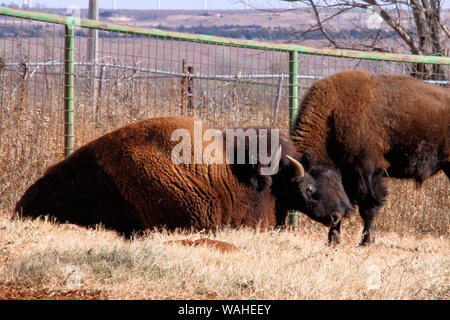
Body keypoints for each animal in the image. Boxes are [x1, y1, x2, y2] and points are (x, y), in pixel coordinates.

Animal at [290, 69, 448, 245]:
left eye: (309, 189)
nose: (331, 218)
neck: (332, 114)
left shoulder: (366, 173)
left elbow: (368, 207)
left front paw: (366, 241)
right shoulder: (347, 178)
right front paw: (333, 240)